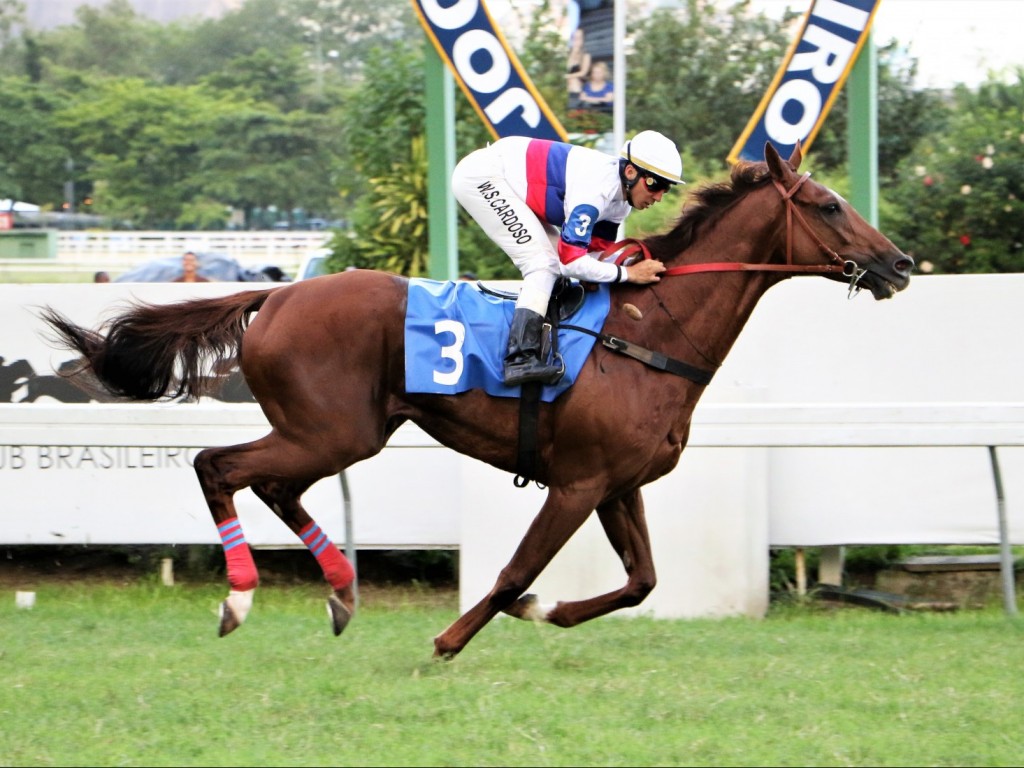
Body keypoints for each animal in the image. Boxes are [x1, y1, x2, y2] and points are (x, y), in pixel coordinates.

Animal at [37, 145, 913, 663]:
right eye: (829, 206)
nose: (900, 263)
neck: (652, 329)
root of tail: (275, 294)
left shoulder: (618, 483)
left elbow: (642, 582)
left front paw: (543, 610)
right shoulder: (578, 483)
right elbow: (515, 566)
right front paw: (453, 638)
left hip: (337, 432)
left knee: (273, 485)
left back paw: (341, 591)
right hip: (331, 430)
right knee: (217, 466)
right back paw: (240, 598)